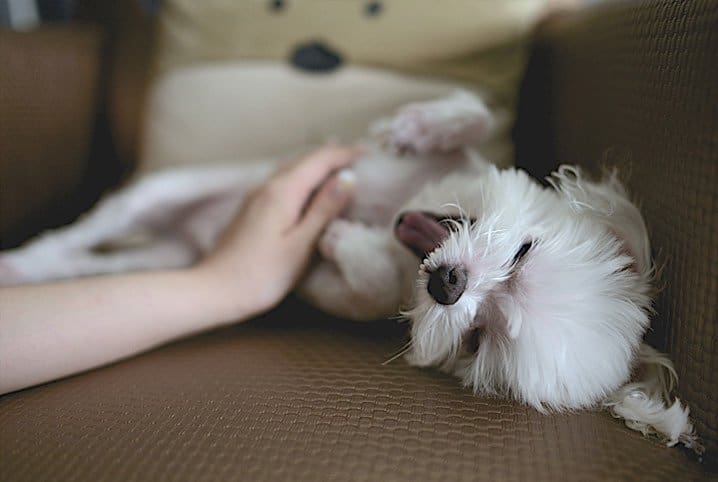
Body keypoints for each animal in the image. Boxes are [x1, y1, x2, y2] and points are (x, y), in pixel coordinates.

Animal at [0, 90, 700, 452]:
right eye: (525, 251)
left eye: (479, 339)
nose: (449, 285)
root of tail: (188, 236)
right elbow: (474, 113)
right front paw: (420, 127)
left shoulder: (353, 293)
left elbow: (361, 285)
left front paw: (344, 238)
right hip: (164, 192)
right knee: (93, 228)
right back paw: (22, 259)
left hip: (167, 258)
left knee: (86, 260)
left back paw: (27, 270)